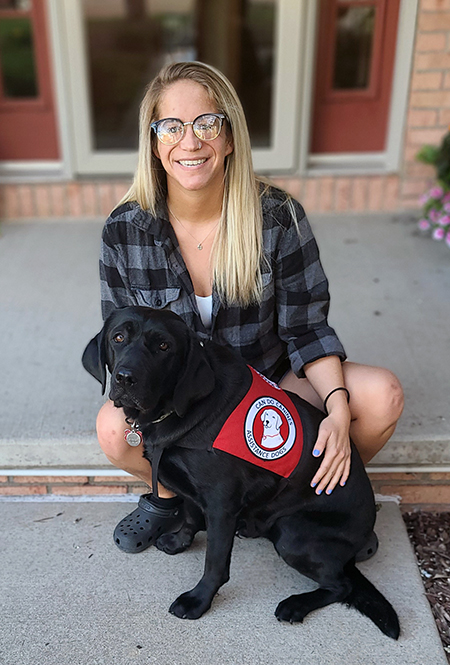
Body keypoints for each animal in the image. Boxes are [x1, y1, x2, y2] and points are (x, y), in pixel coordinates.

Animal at [82, 306, 400, 640]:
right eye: (118, 337)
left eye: (164, 347)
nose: (126, 378)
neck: (178, 410)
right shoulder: (192, 489)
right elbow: (191, 516)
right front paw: (180, 542)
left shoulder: (221, 504)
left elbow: (215, 562)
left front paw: (198, 600)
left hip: (293, 533)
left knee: (342, 586)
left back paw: (295, 605)